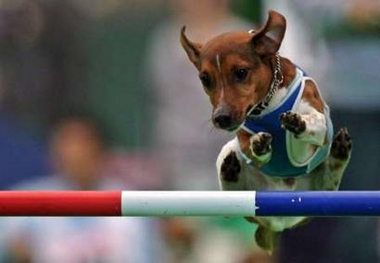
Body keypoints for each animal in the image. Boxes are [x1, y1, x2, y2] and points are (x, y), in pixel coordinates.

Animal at [180, 10, 352, 254]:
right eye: (205, 79)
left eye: (241, 72)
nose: (221, 118)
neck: (267, 104)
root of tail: (277, 222)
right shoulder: (241, 136)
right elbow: (251, 146)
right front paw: (259, 144)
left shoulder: (320, 123)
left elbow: (314, 122)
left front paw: (298, 123)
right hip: (231, 162)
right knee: (231, 204)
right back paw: (229, 171)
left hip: (318, 197)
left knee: (329, 186)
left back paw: (339, 153)